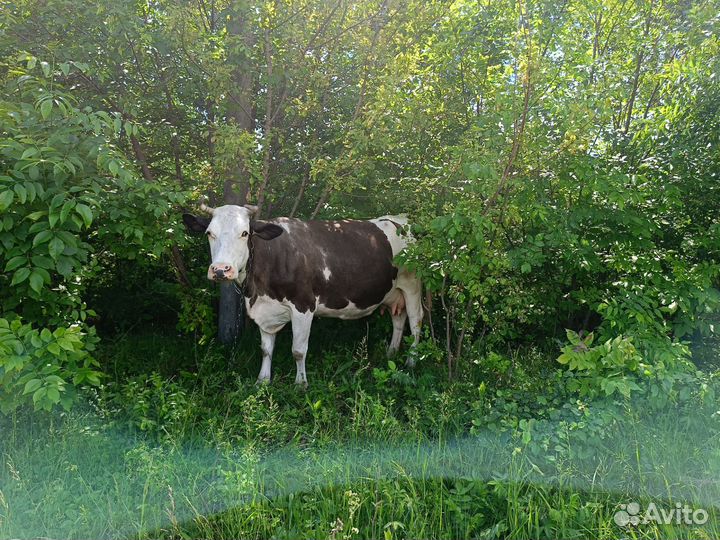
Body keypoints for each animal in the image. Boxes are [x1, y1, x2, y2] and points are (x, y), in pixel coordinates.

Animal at [182, 201, 423, 386]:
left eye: (244, 233)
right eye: (209, 233)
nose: (221, 269)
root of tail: (402, 219)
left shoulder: (304, 305)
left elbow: (298, 350)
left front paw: (301, 384)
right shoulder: (264, 309)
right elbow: (266, 349)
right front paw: (262, 381)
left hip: (412, 284)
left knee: (416, 322)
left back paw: (411, 362)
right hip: (392, 292)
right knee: (398, 319)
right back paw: (391, 353)